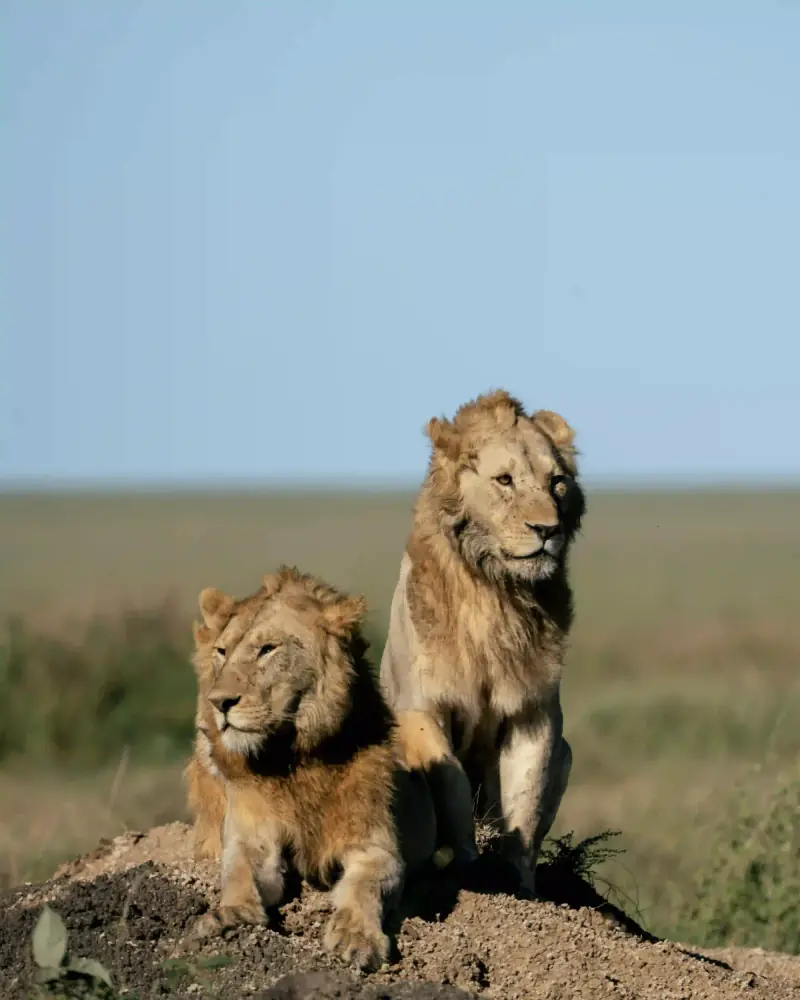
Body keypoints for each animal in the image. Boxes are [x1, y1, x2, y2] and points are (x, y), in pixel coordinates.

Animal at [184, 566, 436, 970]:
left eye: (267, 649)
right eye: (221, 652)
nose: (218, 702)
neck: (294, 760)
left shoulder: (375, 847)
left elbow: (365, 887)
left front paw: (355, 937)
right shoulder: (251, 834)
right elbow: (239, 873)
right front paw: (230, 915)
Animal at [380, 389, 586, 895]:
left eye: (557, 483)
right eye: (505, 480)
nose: (547, 530)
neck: (495, 594)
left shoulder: (534, 712)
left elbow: (525, 799)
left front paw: (519, 885)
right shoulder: (422, 707)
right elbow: (452, 788)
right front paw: (470, 868)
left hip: (569, 752)